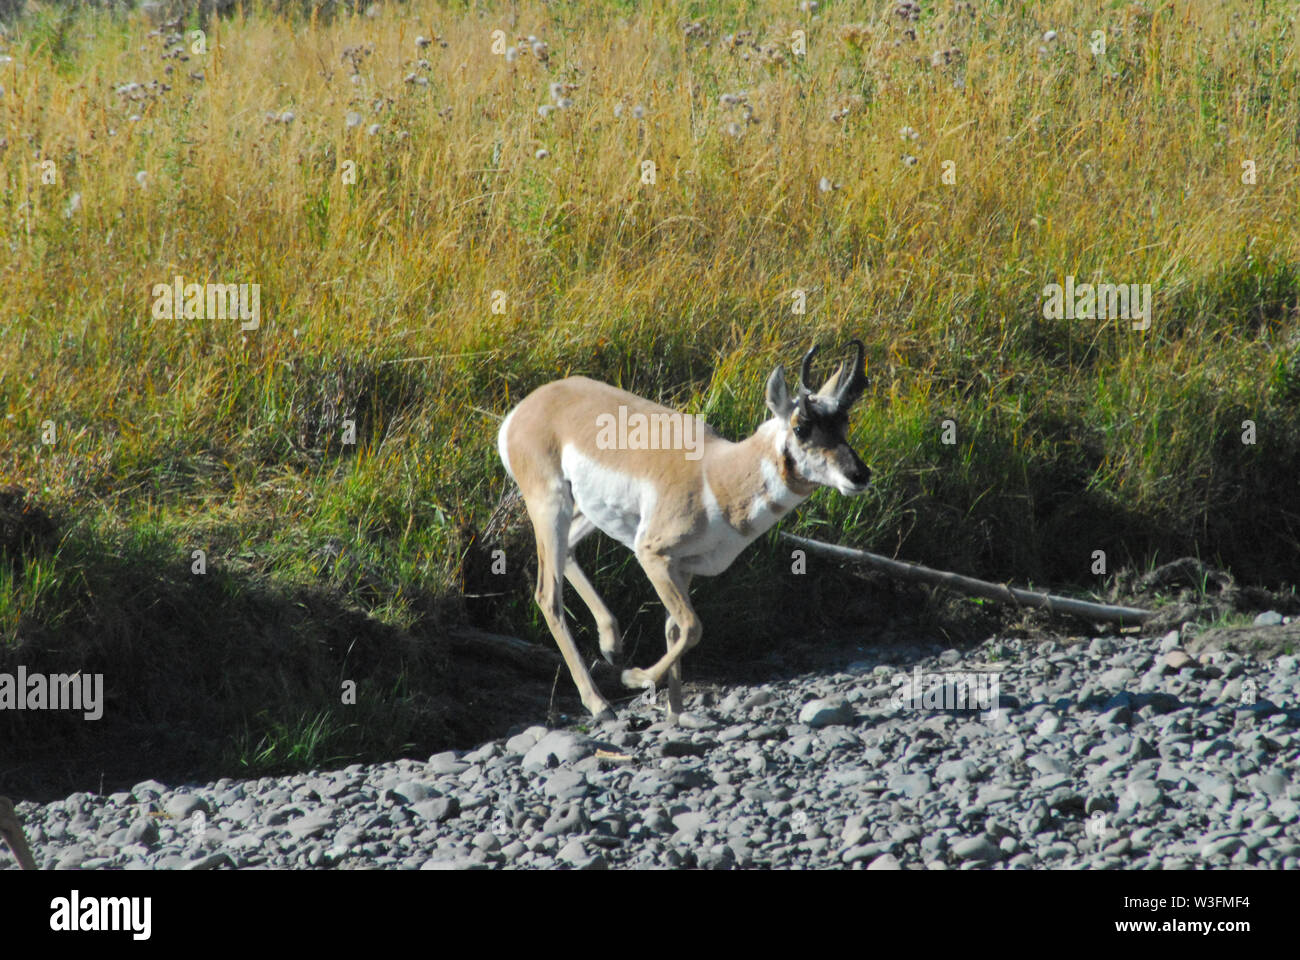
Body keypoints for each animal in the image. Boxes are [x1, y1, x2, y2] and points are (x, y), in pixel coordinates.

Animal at [496, 343, 873, 718]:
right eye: (800, 427)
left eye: (844, 422)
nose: (860, 475)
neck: (716, 475)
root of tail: (526, 408)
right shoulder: (652, 556)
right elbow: (693, 626)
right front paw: (634, 678)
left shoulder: (683, 567)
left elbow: (674, 628)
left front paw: (676, 711)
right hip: (551, 506)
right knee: (548, 596)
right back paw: (600, 704)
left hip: (587, 512)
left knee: (569, 553)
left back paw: (612, 647)